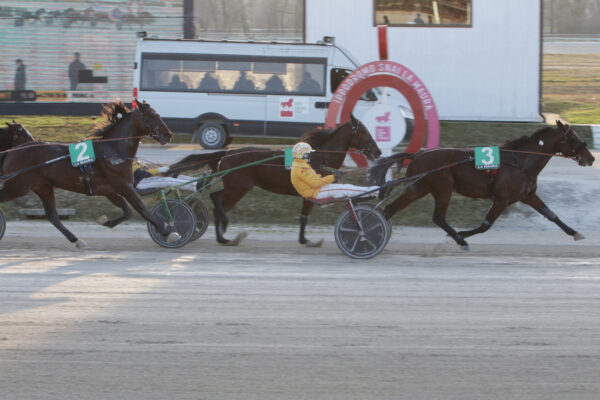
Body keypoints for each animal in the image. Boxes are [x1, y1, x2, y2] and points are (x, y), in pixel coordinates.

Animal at [0, 99, 178, 247]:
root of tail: (13, 151)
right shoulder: (124, 185)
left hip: (43, 187)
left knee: (52, 216)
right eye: (154, 116)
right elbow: (142, 209)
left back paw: (76, 240)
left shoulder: (109, 190)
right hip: (18, 186)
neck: (113, 150)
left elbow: (127, 211)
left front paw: (106, 221)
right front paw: (168, 232)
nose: (169, 134)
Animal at [166, 114, 380, 247]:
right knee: (216, 199)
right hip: (238, 187)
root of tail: (226, 154)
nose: (377, 151)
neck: (317, 157)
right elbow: (305, 216)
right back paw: (225, 230)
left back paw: (223, 238)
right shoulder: (310, 190)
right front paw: (307, 240)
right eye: (364, 132)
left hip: (236, 188)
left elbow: (305, 216)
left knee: (218, 204)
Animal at [370, 120, 596, 250]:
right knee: (438, 217)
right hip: (443, 189)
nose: (591, 158)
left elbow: (552, 215)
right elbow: (486, 225)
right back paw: (460, 241)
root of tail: (418, 154)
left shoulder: (528, 195)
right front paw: (460, 235)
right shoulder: (502, 198)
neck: (521, 162)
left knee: (390, 210)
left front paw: (575, 233)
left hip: (418, 188)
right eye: (573, 138)